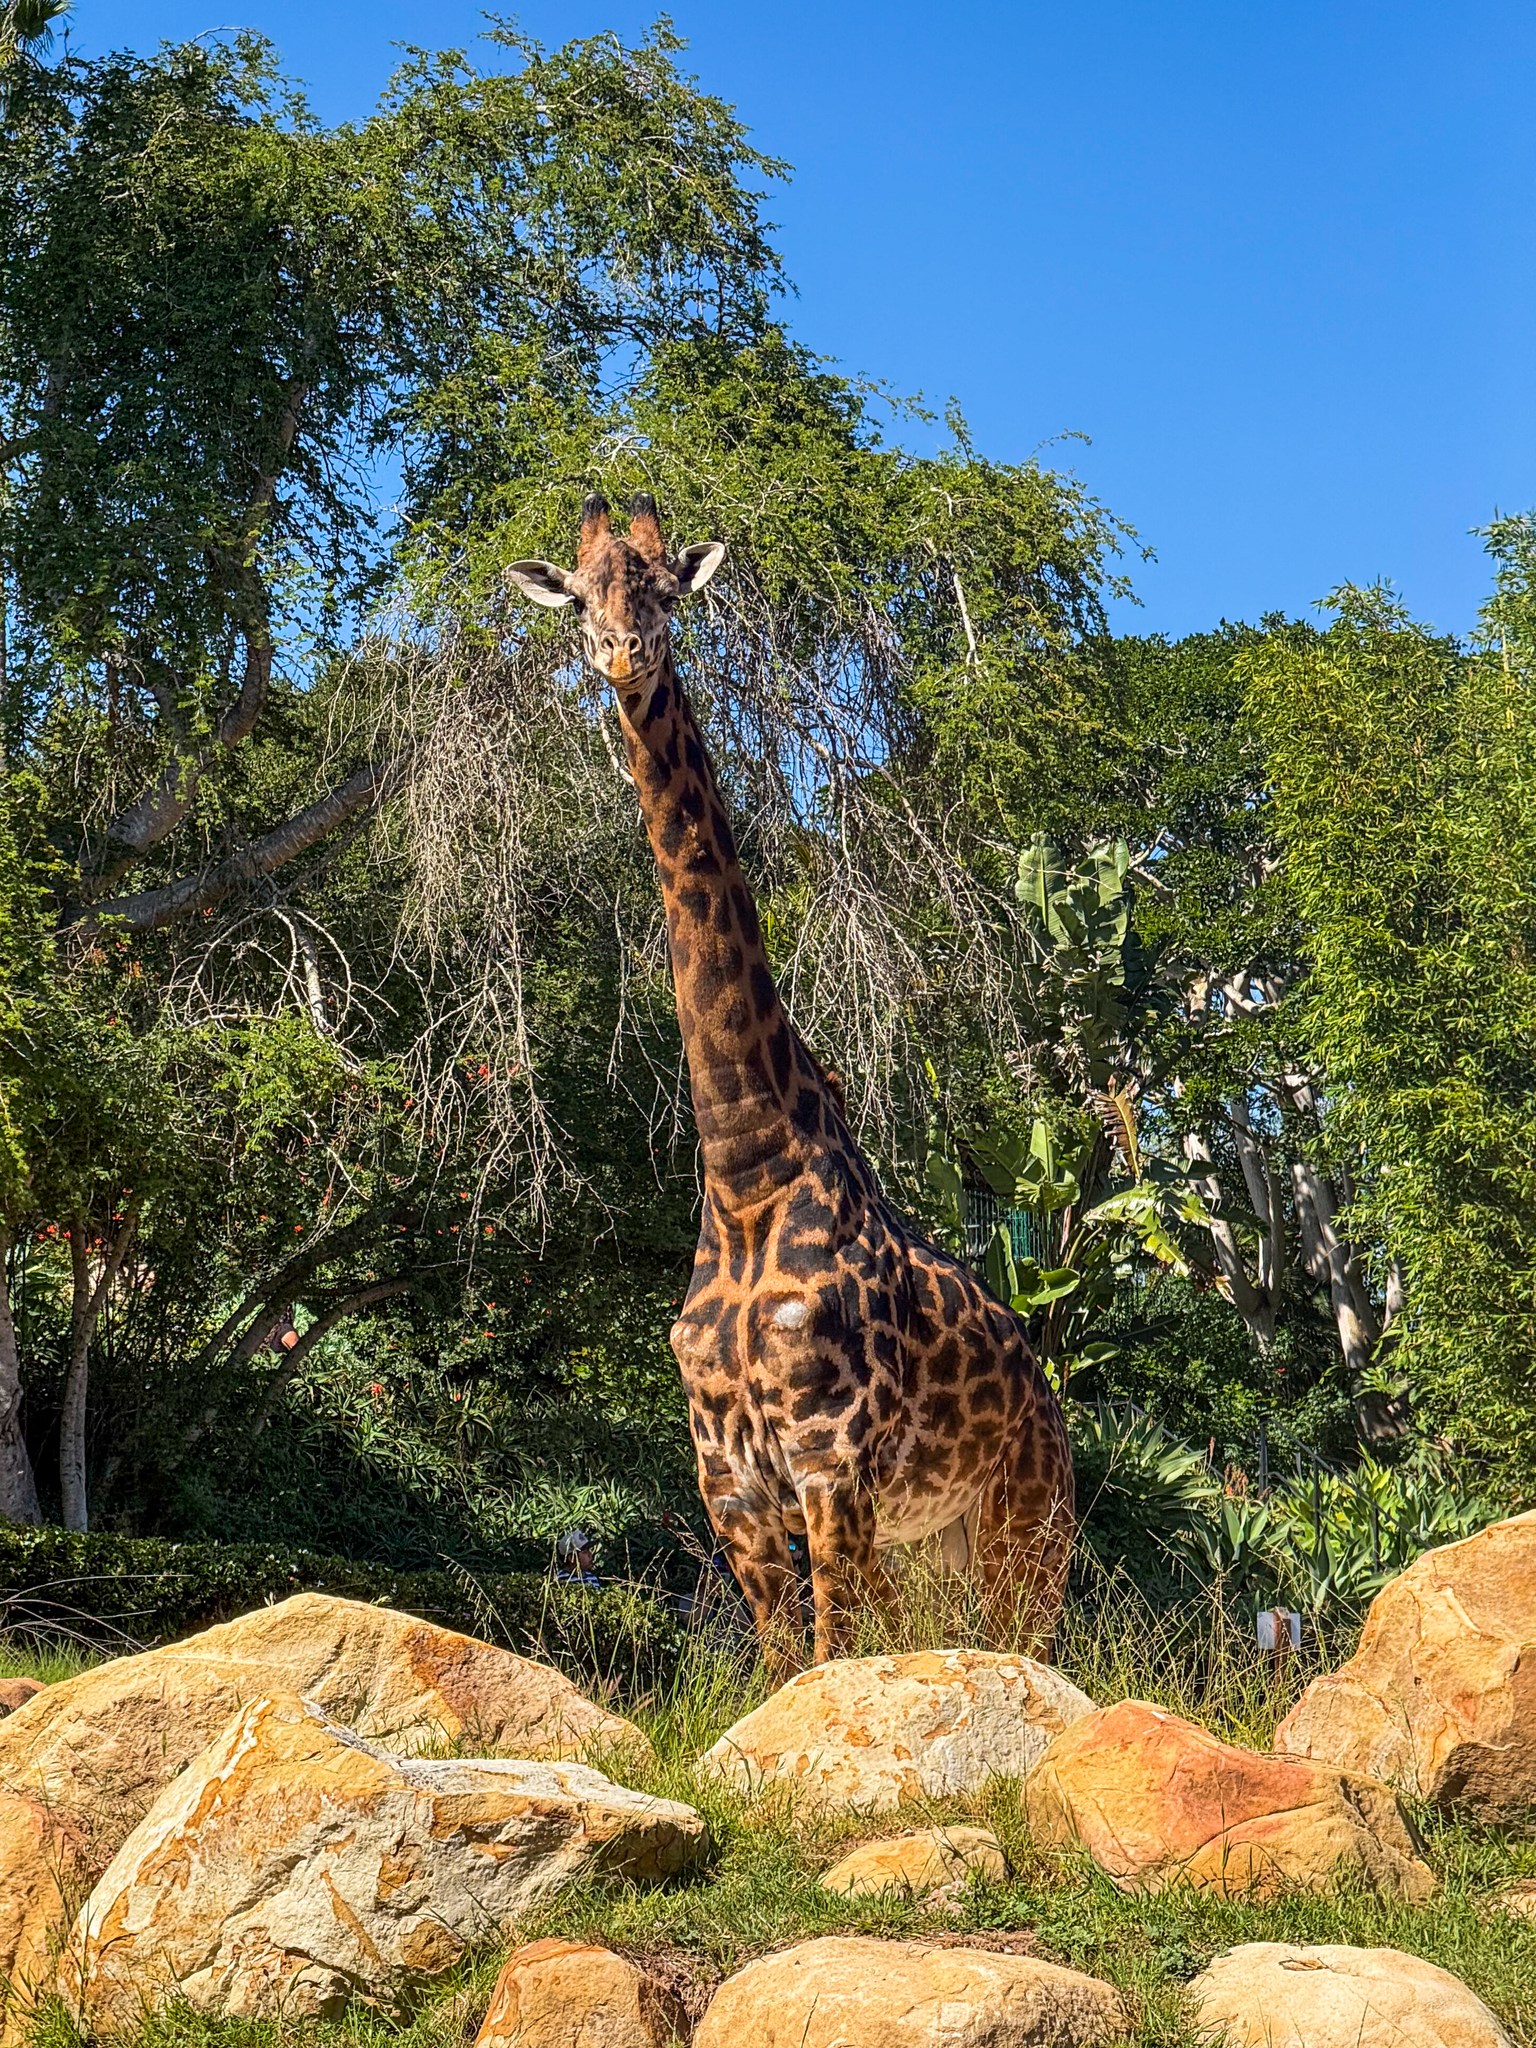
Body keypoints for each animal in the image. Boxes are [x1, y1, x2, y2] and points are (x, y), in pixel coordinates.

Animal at [509, 494, 1075, 1669]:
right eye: (579, 596)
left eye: (664, 589)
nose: (621, 653)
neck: (744, 1169)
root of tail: (1047, 1399)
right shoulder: (729, 1482)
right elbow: (784, 1676)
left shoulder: (831, 1463)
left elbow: (825, 1666)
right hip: (932, 1549)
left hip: (1025, 1528)